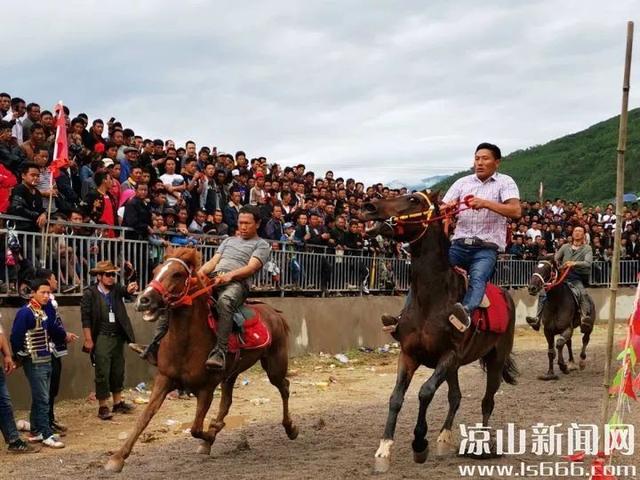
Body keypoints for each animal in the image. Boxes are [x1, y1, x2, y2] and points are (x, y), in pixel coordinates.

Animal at [104, 248, 298, 472]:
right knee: (227, 402)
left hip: (274, 364)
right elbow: (145, 417)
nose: (144, 300)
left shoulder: (206, 389)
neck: (186, 343)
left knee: (284, 386)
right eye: (155, 270)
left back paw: (291, 428)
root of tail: (274, 313)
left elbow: (196, 428)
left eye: (177, 274)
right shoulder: (164, 379)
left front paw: (210, 436)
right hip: (231, 373)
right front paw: (117, 458)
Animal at [362, 190, 516, 472]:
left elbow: (425, 392)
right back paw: (444, 438)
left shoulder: (449, 356)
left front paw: (419, 444)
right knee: (455, 396)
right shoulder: (409, 355)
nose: (369, 206)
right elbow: (396, 398)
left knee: (487, 401)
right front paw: (384, 450)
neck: (431, 300)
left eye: (413, 199)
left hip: (495, 360)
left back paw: (482, 446)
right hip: (454, 368)